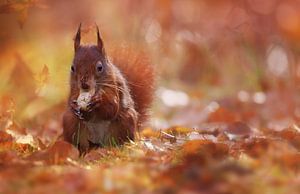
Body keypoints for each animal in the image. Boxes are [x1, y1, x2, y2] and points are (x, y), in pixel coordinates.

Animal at [61, 24, 154, 154]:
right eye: (72, 67)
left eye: (100, 67)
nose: (84, 85)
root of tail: (97, 143)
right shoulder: (74, 90)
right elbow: (72, 100)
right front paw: (74, 106)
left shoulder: (113, 87)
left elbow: (112, 108)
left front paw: (98, 102)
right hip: (70, 123)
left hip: (125, 122)